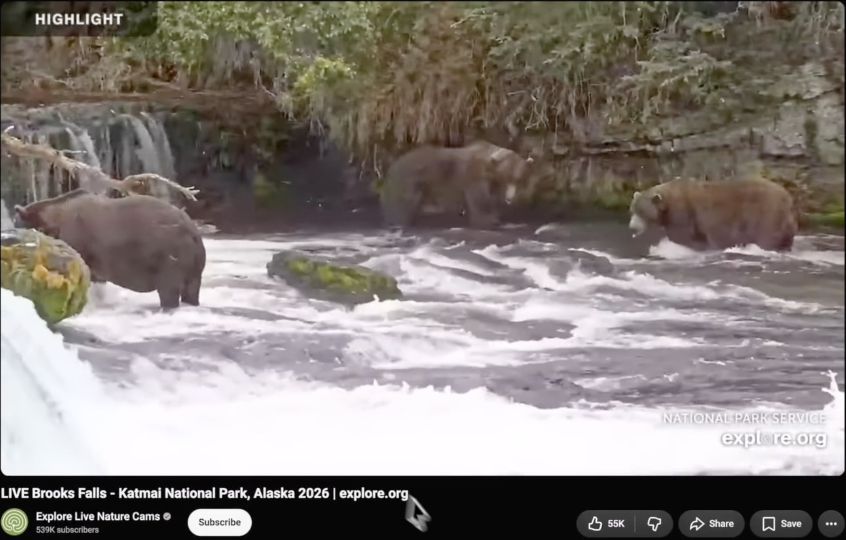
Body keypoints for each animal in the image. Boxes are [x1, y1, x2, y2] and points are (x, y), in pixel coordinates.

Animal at [14, 189, 207, 309]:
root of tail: (194, 232)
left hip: (168, 256)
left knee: (169, 289)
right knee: (191, 290)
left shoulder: (78, 241)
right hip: (193, 265)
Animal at [379, 140, 537, 229]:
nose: (510, 198)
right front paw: (488, 221)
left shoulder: (494, 182)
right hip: (410, 180)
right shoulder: (474, 177)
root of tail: (392, 166)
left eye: (520, 179)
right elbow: (480, 201)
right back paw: (399, 221)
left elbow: (491, 200)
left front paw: (495, 216)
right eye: (511, 177)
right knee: (403, 204)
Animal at [628, 178, 798, 251]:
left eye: (641, 211)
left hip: (764, 214)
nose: (632, 227)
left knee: (766, 237)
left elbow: (682, 236)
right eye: (632, 209)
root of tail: (788, 198)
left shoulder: (683, 213)